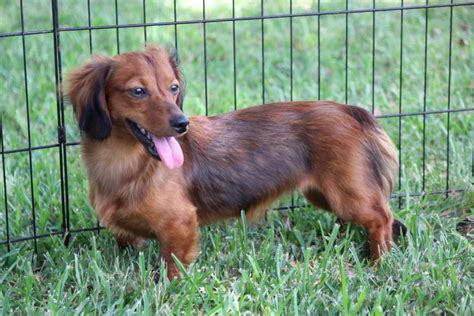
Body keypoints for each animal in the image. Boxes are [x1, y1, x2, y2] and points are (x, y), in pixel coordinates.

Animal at [66, 45, 404, 278]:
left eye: (173, 87)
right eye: (138, 91)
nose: (182, 123)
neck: (128, 163)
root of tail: (350, 110)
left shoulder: (179, 224)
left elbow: (173, 264)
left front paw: (167, 287)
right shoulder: (127, 235)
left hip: (347, 195)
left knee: (382, 217)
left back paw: (379, 260)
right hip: (322, 195)